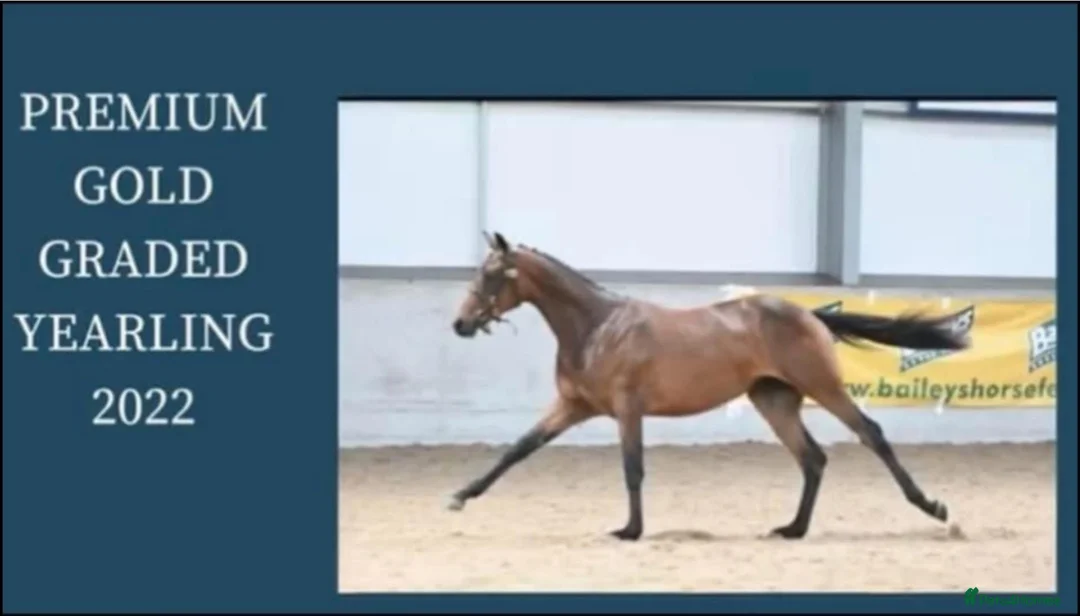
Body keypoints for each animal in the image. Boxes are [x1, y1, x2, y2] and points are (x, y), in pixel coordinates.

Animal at [447, 231, 968, 541]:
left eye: (491, 275)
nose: (461, 324)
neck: (598, 327)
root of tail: (811, 315)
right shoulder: (574, 406)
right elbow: (518, 449)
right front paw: (460, 496)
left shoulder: (627, 408)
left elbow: (632, 468)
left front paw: (630, 530)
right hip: (774, 401)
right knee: (813, 459)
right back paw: (792, 528)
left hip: (823, 387)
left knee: (869, 434)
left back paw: (934, 508)